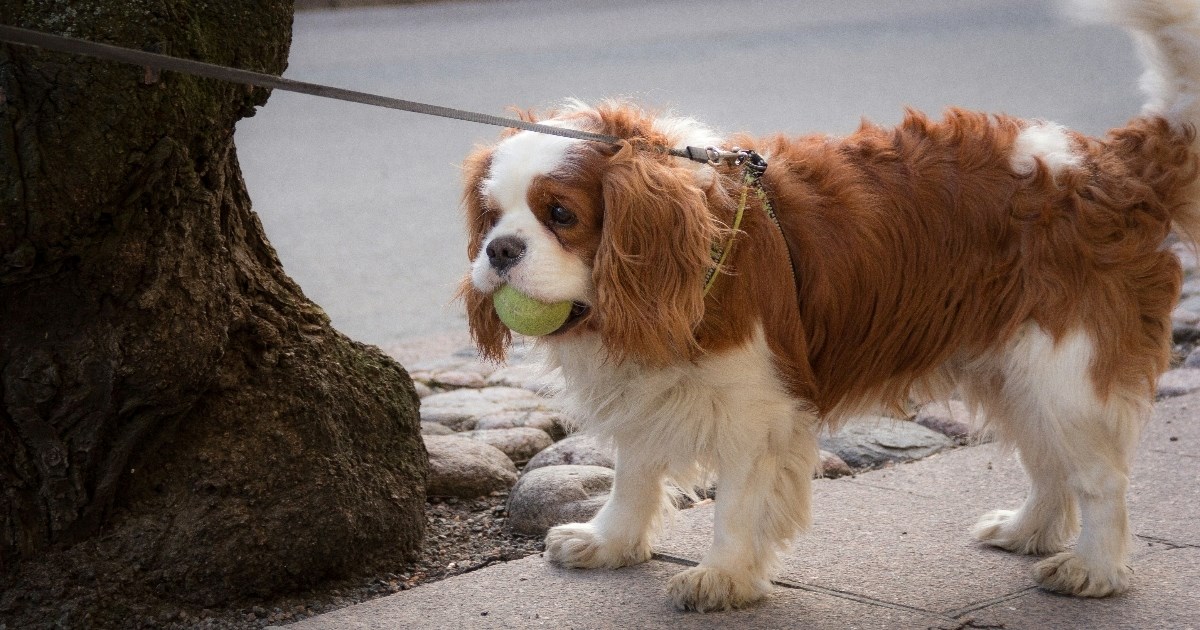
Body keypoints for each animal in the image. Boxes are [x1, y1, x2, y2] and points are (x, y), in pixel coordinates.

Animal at [458, 0, 1200, 609]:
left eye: (560, 215)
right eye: (491, 217)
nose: (499, 251)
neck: (695, 248)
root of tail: (1109, 163)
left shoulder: (759, 412)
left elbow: (737, 503)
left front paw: (723, 577)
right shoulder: (648, 393)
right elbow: (633, 476)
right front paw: (608, 543)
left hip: (1066, 368)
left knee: (1100, 477)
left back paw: (1094, 570)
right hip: (1010, 365)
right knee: (1046, 459)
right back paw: (1029, 532)